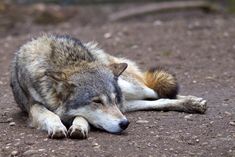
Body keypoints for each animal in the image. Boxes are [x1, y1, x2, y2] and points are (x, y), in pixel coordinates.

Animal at [10, 34, 207, 139]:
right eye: (97, 101)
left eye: (111, 99)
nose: (125, 123)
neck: (64, 62)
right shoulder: (34, 106)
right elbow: (49, 115)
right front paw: (57, 127)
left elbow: (82, 117)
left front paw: (79, 127)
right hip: (127, 102)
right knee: (157, 100)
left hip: (130, 90)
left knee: (158, 93)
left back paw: (195, 102)